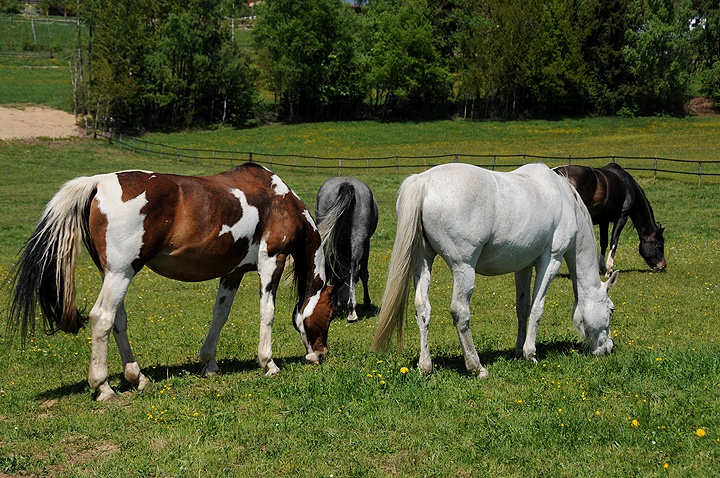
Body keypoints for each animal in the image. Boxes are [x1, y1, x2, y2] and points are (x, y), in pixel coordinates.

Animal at [8, 162, 336, 402]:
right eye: (331, 313)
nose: (321, 354)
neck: (280, 200)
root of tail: (99, 182)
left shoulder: (232, 273)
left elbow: (220, 315)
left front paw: (209, 364)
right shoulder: (271, 261)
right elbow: (267, 313)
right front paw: (268, 364)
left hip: (112, 274)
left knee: (118, 321)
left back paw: (138, 378)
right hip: (121, 273)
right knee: (102, 318)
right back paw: (104, 388)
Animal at [316, 176, 380, 322]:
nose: (342, 301)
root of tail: (346, 184)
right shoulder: (366, 244)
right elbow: (363, 274)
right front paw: (366, 302)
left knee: (328, 268)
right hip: (359, 239)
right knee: (354, 270)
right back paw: (352, 311)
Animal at [372, 164, 620, 378]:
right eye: (611, 310)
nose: (608, 348)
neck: (565, 199)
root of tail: (423, 181)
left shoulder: (523, 267)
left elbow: (523, 308)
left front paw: (519, 351)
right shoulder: (551, 260)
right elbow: (537, 308)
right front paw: (530, 354)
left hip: (424, 259)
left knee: (423, 308)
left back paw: (426, 366)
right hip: (463, 268)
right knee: (460, 312)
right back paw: (477, 367)